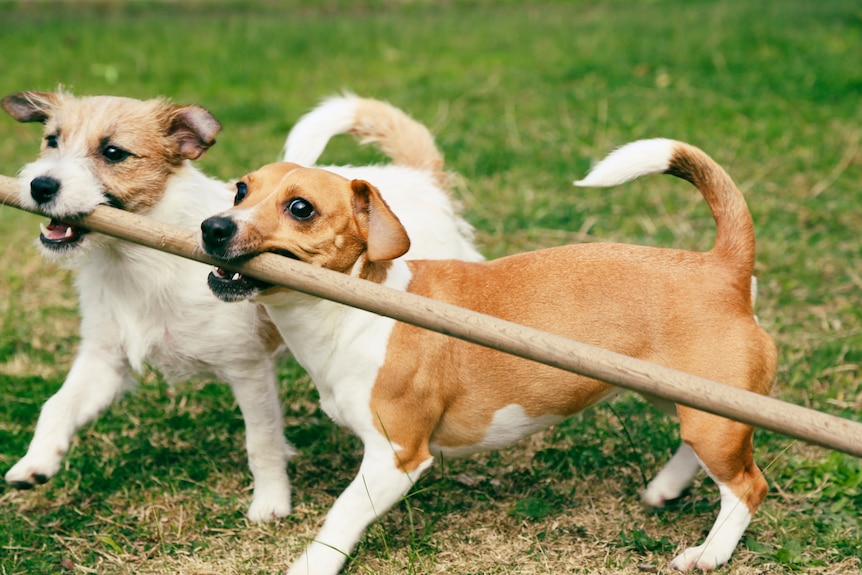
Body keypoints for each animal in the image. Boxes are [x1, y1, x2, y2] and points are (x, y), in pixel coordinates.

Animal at [3, 90, 482, 520]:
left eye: (113, 152)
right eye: (51, 140)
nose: (39, 186)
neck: (138, 261)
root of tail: (421, 180)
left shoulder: (247, 370)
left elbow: (262, 444)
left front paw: (270, 504)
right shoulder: (105, 359)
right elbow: (58, 405)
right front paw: (35, 462)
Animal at [204, 141, 784, 575]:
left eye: (300, 208)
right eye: (240, 190)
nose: (213, 226)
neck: (353, 308)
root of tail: (723, 266)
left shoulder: (397, 455)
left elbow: (342, 516)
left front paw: (310, 565)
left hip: (709, 421)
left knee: (746, 486)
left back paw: (710, 554)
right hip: (683, 399)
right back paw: (666, 488)